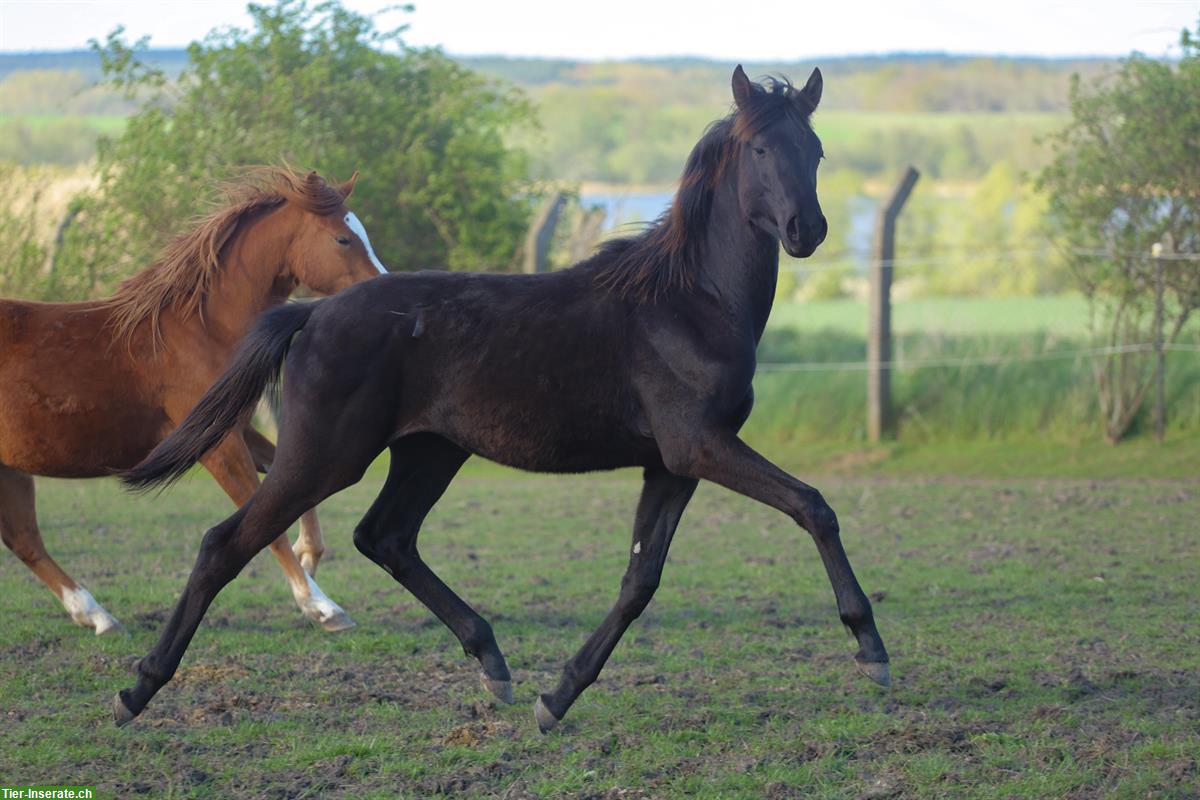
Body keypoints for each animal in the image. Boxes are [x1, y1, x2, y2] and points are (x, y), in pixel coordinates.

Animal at [0, 167, 384, 638]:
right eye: (342, 239)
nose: (384, 290)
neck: (202, 329)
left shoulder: (233, 427)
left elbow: (289, 480)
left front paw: (309, 555)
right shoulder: (216, 446)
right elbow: (261, 522)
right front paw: (320, 606)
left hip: (10, 468)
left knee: (24, 540)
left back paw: (98, 616)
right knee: (25, 539)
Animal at [119, 65, 892, 734]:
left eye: (815, 149)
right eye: (760, 147)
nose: (807, 230)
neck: (688, 301)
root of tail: (310, 314)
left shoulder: (671, 464)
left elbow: (640, 579)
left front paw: (558, 696)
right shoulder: (700, 445)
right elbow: (813, 507)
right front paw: (871, 648)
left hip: (429, 451)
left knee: (385, 537)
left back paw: (492, 661)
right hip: (325, 455)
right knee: (227, 543)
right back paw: (137, 690)